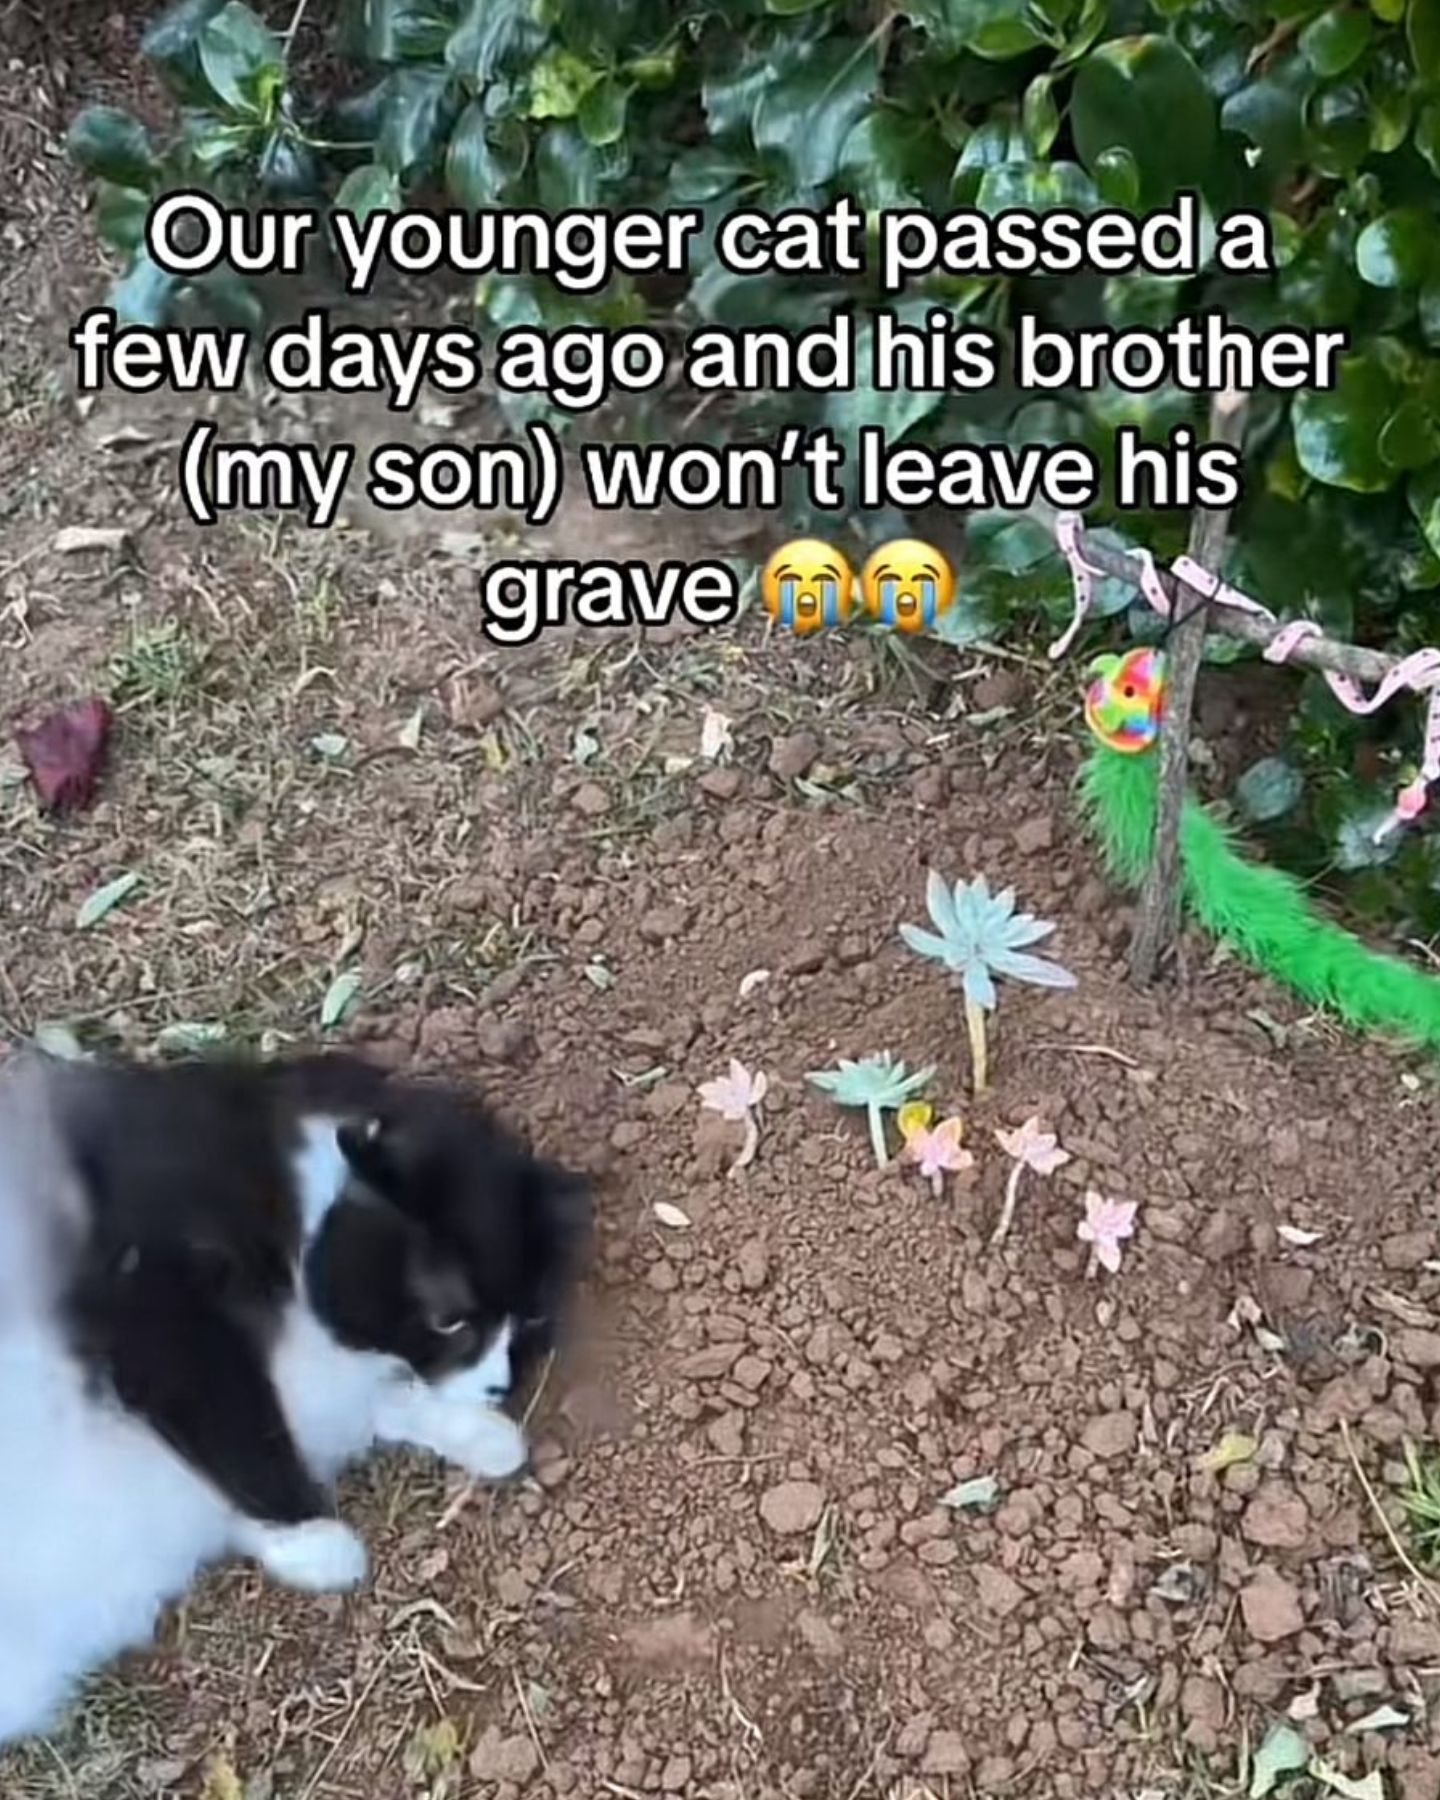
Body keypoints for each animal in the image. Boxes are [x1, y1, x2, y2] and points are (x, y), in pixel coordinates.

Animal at [0, 1051, 590, 1749]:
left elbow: (371, 1405)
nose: (501, 1386)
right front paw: (318, 1540)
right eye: (450, 1319)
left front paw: (481, 1436)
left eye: (528, 1322)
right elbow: (239, 1424)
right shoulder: (157, 1299)